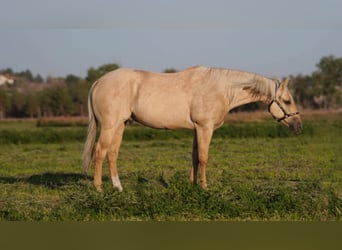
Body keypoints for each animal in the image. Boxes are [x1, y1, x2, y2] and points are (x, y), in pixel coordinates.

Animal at [83, 66, 302, 191]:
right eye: (287, 100)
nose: (298, 126)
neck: (221, 89)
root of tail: (99, 81)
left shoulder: (197, 129)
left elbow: (195, 156)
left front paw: (193, 184)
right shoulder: (205, 128)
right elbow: (204, 158)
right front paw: (204, 187)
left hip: (120, 126)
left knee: (112, 153)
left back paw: (118, 187)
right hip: (110, 126)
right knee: (99, 152)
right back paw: (99, 188)